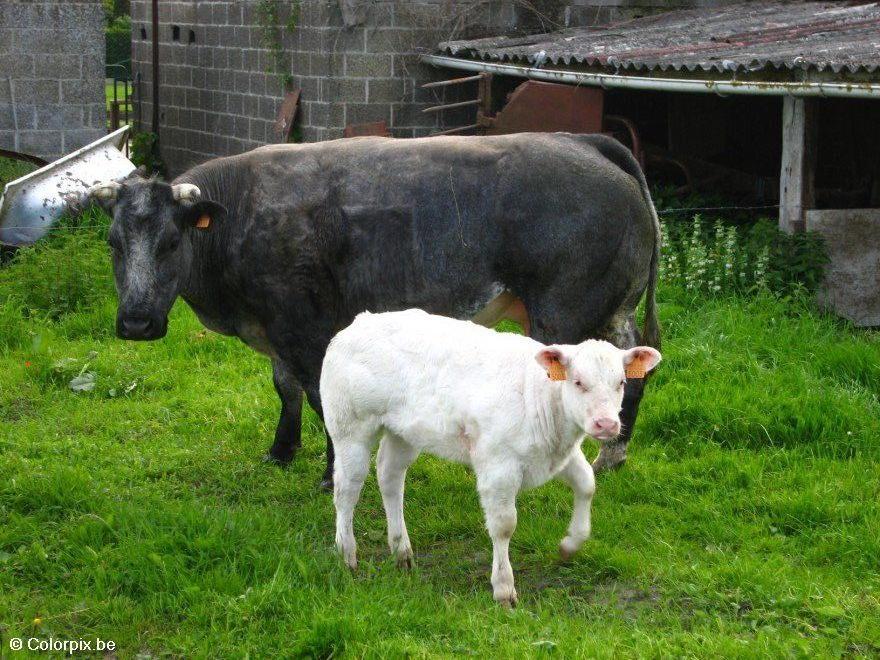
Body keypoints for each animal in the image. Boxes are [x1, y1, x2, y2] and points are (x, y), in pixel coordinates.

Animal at [80, 132, 660, 489]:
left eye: (171, 242)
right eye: (112, 243)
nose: (135, 323)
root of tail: (581, 140)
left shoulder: (306, 329)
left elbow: (319, 399)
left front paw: (330, 473)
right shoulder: (275, 328)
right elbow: (286, 391)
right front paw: (281, 452)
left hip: (561, 315)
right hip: (613, 310)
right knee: (631, 376)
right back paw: (614, 455)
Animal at [321, 309, 662, 605]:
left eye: (621, 382)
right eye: (578, 382)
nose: (607, 424)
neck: (540, 396)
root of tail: (357, 323)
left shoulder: (556, 454)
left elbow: (587, 484)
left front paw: (570, 544)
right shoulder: (498, 466)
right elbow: (504, 525)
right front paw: (504, 589)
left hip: (404, 431)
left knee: (389, 477)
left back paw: (401, 551)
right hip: (350, 426)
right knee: (346, 489)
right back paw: (347, 555)